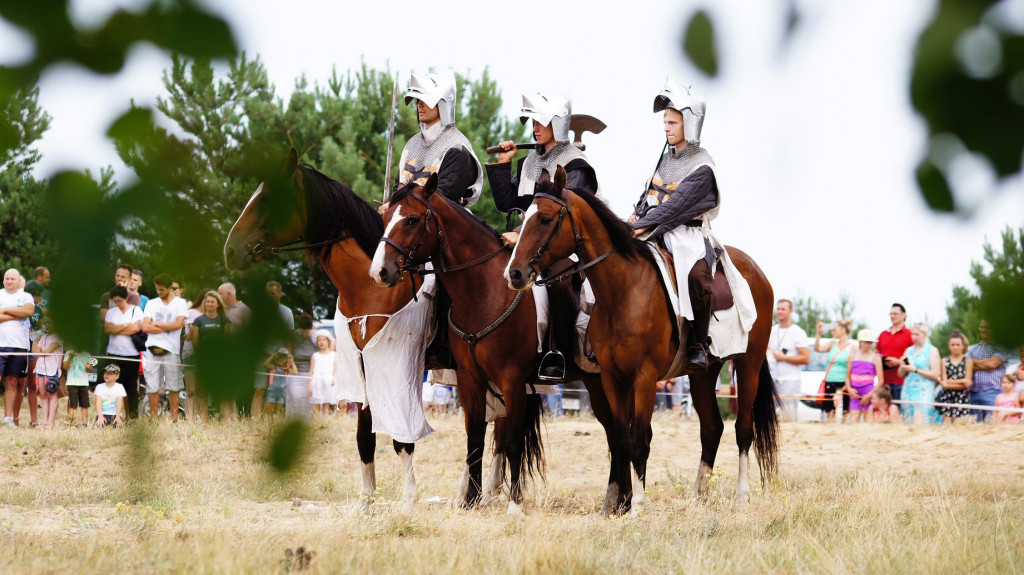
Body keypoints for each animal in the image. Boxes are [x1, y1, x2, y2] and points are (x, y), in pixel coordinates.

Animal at [222, 148, 430, 505]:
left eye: (269, 200)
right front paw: (366, 498)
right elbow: (365, 436)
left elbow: (402, 437)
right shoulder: (362, 367)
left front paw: (409, 498)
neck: (371, 286)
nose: (230, 251)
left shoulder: (396, 370)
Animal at [368, 171, 614, 511]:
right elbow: (475, 438)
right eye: (385, 217)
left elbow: (511, 440)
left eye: (412, 220)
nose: (380, 272)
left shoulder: (512, 381)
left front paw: (514, 504)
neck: (485, 292)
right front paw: (471, 499)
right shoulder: (471, 380)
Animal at [503, 165, 774, 509]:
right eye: (524, 217)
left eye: (546, 219)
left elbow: (639, 440)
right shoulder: (612, 378)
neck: (625, 289)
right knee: (712, 427)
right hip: (703, 373)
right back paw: (698, 496)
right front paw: (622, 503)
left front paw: (638, 507)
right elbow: (620, 437)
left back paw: (741, 495)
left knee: (743, 429)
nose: (514, 273)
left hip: (749, 364)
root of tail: (758, 273)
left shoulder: (644, 378)